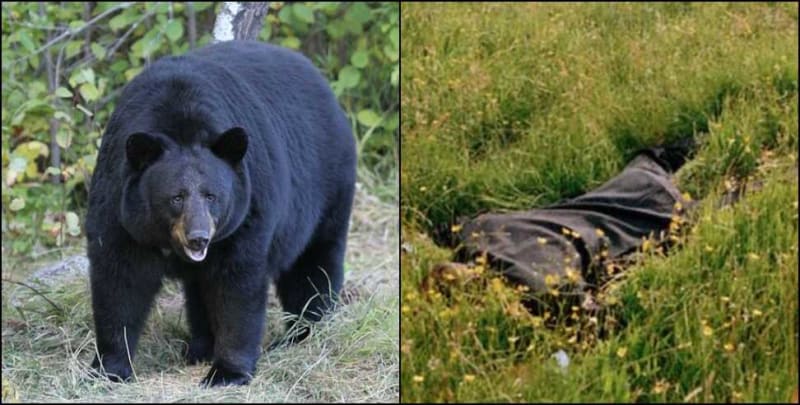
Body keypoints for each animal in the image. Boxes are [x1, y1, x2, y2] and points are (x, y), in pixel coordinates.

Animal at [84, 40, 357, 387]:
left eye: (212, 196)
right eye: (176, 197)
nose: (198, 238)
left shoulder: (246, 213)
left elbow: (236, 286)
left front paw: (227, 372)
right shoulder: (119, 208)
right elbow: (119, 280)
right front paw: (110, 368)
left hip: (326, 189)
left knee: (312, 265)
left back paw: (305, 332)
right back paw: (199, 348)